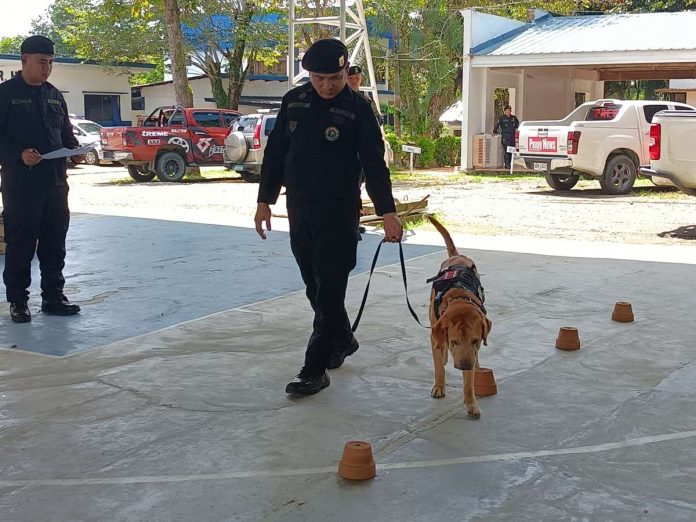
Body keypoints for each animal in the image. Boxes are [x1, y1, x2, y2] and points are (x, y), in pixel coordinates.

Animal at [426, 213, 492, 416]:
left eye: (475, 340)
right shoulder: (435, 333)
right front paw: (439, 386)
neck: (458, 296)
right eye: (454, 341)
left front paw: (471, 403)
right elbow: (438, 365)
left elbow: (469, 381)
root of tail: (457, 256)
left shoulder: (471, 350)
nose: (464, 366)